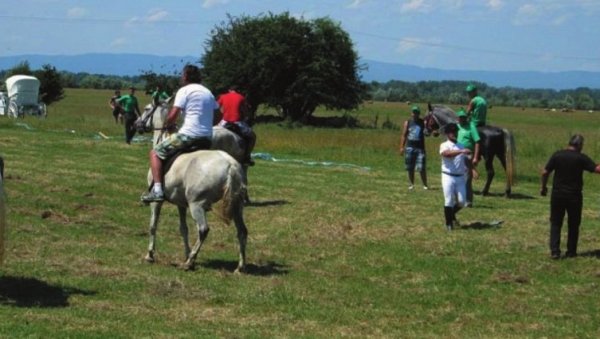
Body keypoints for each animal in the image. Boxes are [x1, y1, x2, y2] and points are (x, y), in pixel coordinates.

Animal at [141, 105, 248, 272]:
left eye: (147, 109)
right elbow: (183, 229)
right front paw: (185, 252)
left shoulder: (157, 202)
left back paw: (190, 261)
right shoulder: (181, 204)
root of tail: (231, 166)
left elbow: (153, 225)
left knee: (203, 229)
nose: (136, 124)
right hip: (237, 205)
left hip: (196, 205)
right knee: (242, 231)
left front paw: (150, 255)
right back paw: (240, 266)